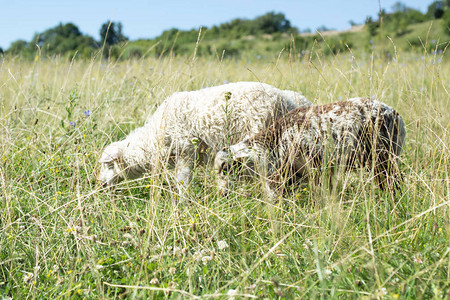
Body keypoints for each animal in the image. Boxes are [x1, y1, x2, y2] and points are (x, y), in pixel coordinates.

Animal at [97, 81, 312, 192]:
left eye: (108, 165)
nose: (100, 184)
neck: (151, 140)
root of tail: (289, 100)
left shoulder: (184, 151)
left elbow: (182, 180)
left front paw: (183, 202)